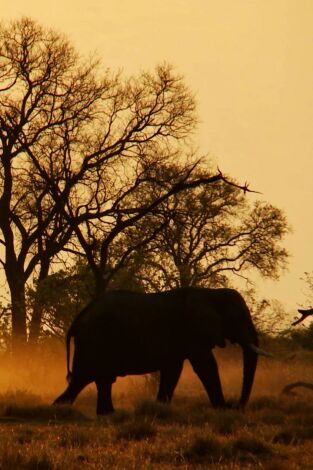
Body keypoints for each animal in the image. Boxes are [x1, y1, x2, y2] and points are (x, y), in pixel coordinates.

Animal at [53, 286, 268, 414]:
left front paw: (160, 408)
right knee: (82, 379)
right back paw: (60, 409)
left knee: (100, 380)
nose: (237, 405)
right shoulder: (192, 330)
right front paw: (222, 409)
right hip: (94, 341)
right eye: (239, 318)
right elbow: (205, 364)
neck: (211, 293)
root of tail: (78, 319)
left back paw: (107, 415)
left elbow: (173, 369)